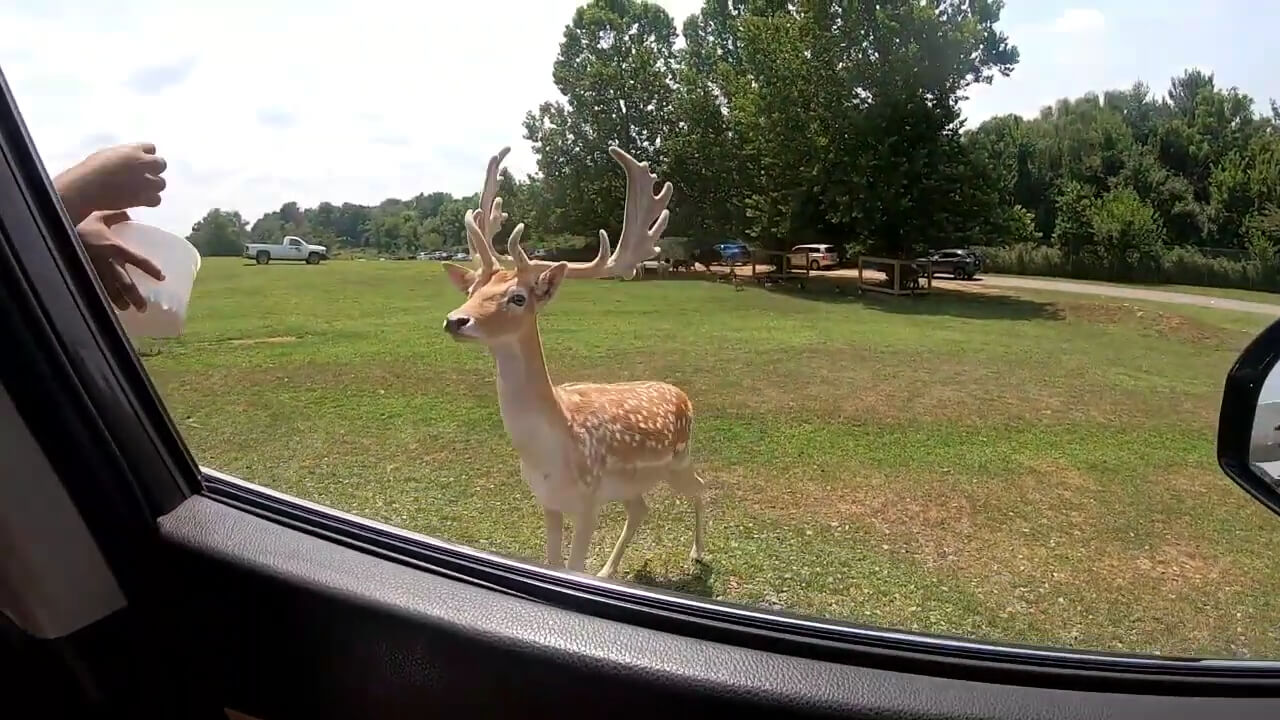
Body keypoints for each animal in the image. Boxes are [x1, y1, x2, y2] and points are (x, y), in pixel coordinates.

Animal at [435, 146, 706, 576]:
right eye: (473, 289)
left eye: (518, 297)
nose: (455, 320)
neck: (549, 454)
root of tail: (682, 394)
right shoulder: (547, 501)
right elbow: (552, 560)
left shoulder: (588, 501)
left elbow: (573, 565)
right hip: (635, 481)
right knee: (641, 508)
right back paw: (608, 572)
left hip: (678, 460)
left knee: (702, 488)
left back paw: (696, 554)